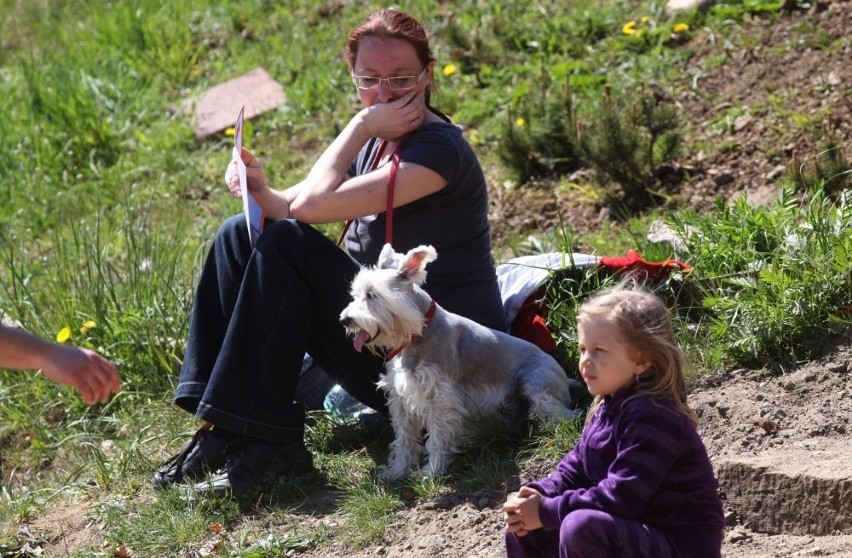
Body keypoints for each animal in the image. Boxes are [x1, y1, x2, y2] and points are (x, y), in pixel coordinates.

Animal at [340, 245, 580, 482]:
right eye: (356, 294)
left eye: (372, 295)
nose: (344, 320)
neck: (418, 332)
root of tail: (564, 376)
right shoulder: (401, 400)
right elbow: (404, 439)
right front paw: (396, 471)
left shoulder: (439, 399)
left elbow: (437, 438)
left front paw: (431, 472)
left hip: (534, 384)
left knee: (563, 414)